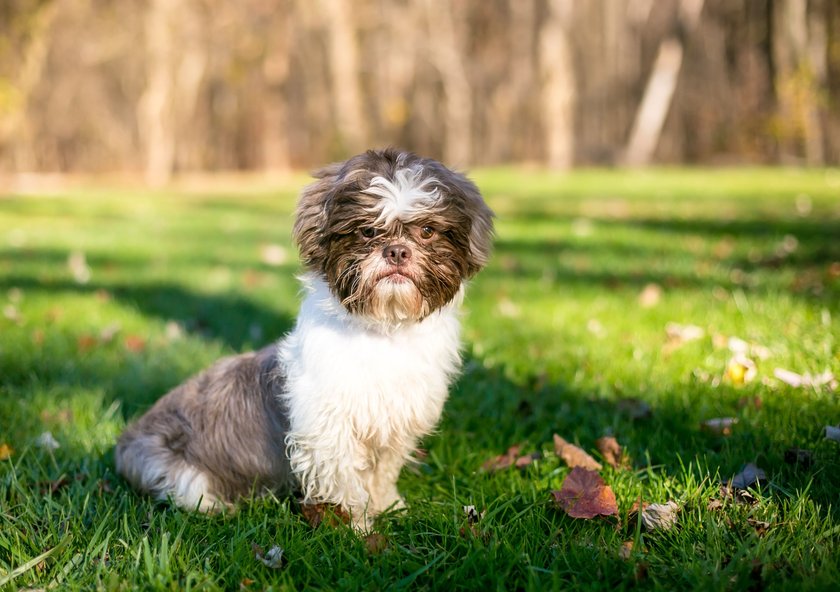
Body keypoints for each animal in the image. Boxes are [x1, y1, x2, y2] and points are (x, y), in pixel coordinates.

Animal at [111, 147, 492, 528]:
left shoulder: (395, 424)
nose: (397, 251)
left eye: (428, 230)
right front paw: (356, 526)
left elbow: (382, 472)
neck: (384, 331)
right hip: (178, 472)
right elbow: (344, 483)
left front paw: (388, 505)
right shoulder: (326, 431)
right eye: (368, 231)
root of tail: (124, 442)